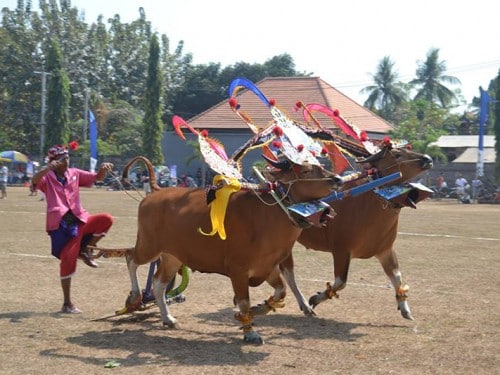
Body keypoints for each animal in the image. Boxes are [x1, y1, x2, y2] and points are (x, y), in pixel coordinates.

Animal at [122, 155, 340, 344]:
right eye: (306, 170)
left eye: (321, 165)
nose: (336, 179)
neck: (270, 213)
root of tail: (156, 191)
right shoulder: (238, 270)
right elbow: (243, 302)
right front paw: (251, 332)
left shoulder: (267, 267)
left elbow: (281, 291)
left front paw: (260, 308)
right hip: (149, 246)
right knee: (131, 257)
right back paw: (134, 295)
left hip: (172, 256)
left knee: (158, 283)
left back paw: (168, 318)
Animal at [256, 145, 432, 322]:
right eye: (397, 154)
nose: (428, 159)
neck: (369, 203)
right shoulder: (341, 251)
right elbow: (340, 282)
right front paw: (316, 298)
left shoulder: (385, 250)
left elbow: (397, 277)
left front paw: (405, 309)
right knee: (288, 273)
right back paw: (303, 305)